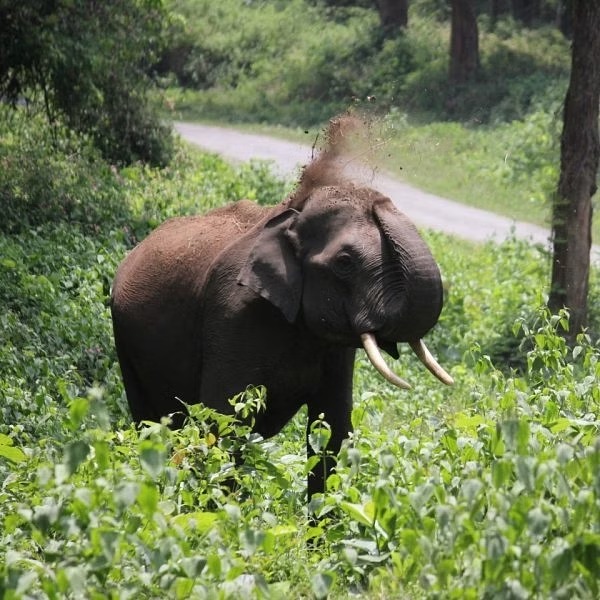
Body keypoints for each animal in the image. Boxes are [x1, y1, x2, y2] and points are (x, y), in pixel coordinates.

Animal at [110, 116, 452, 496]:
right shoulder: (232, 317)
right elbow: (224, 422)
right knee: (151, 422)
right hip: (125, 342)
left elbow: (333, 427)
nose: (374, 197)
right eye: (345, 262)